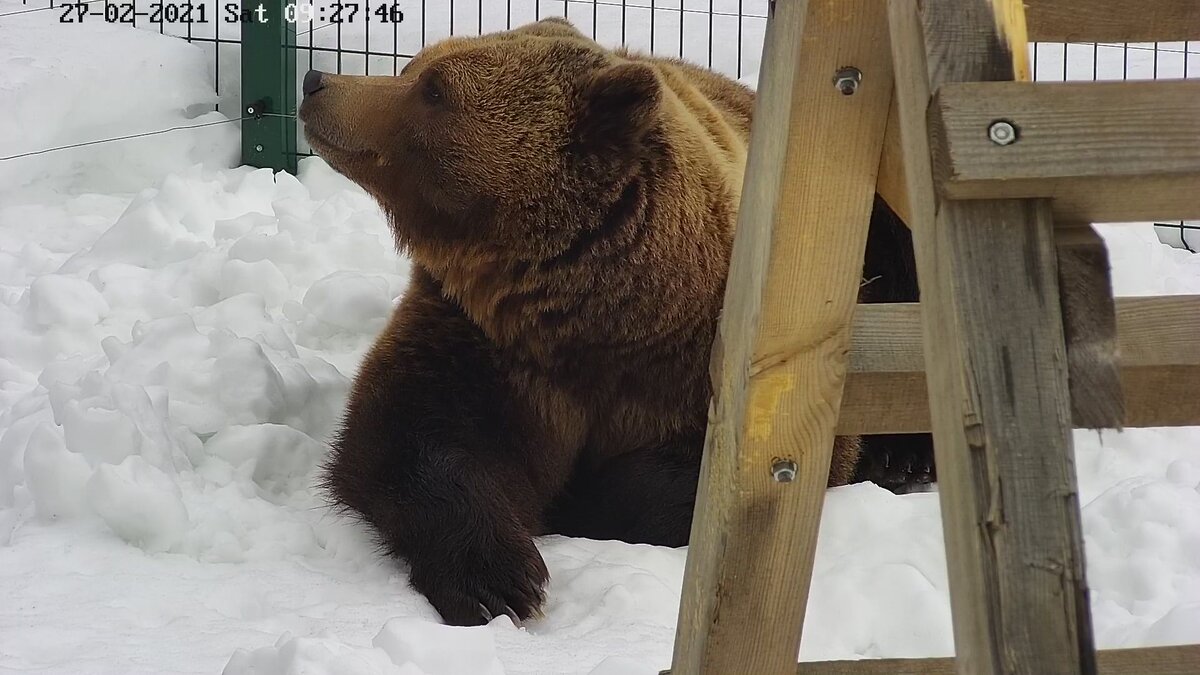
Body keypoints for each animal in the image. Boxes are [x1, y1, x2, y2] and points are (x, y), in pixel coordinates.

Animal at [295, 17, 931, 624]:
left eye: (433, 89)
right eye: (416, 66)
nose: (317, 80)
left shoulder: (699, 357)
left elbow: (704, 475)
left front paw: (571, 504)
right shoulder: (479, 337)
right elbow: (411, 434)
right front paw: (498, 580)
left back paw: (903, 459)